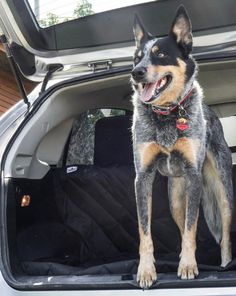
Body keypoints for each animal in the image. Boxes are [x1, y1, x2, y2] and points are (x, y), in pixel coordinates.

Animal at [132, 5, 233, 290]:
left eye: (161, 53)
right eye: (136, 58)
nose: (136, 73)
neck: (167, 114)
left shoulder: (194, 174)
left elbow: (191, 229)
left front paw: (188, 266)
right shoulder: (142, 178)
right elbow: (145, 232)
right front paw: (146, 271)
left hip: (223, 190)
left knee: (224, 234)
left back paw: (225, 265)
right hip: (176, 198)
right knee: (182, 221)